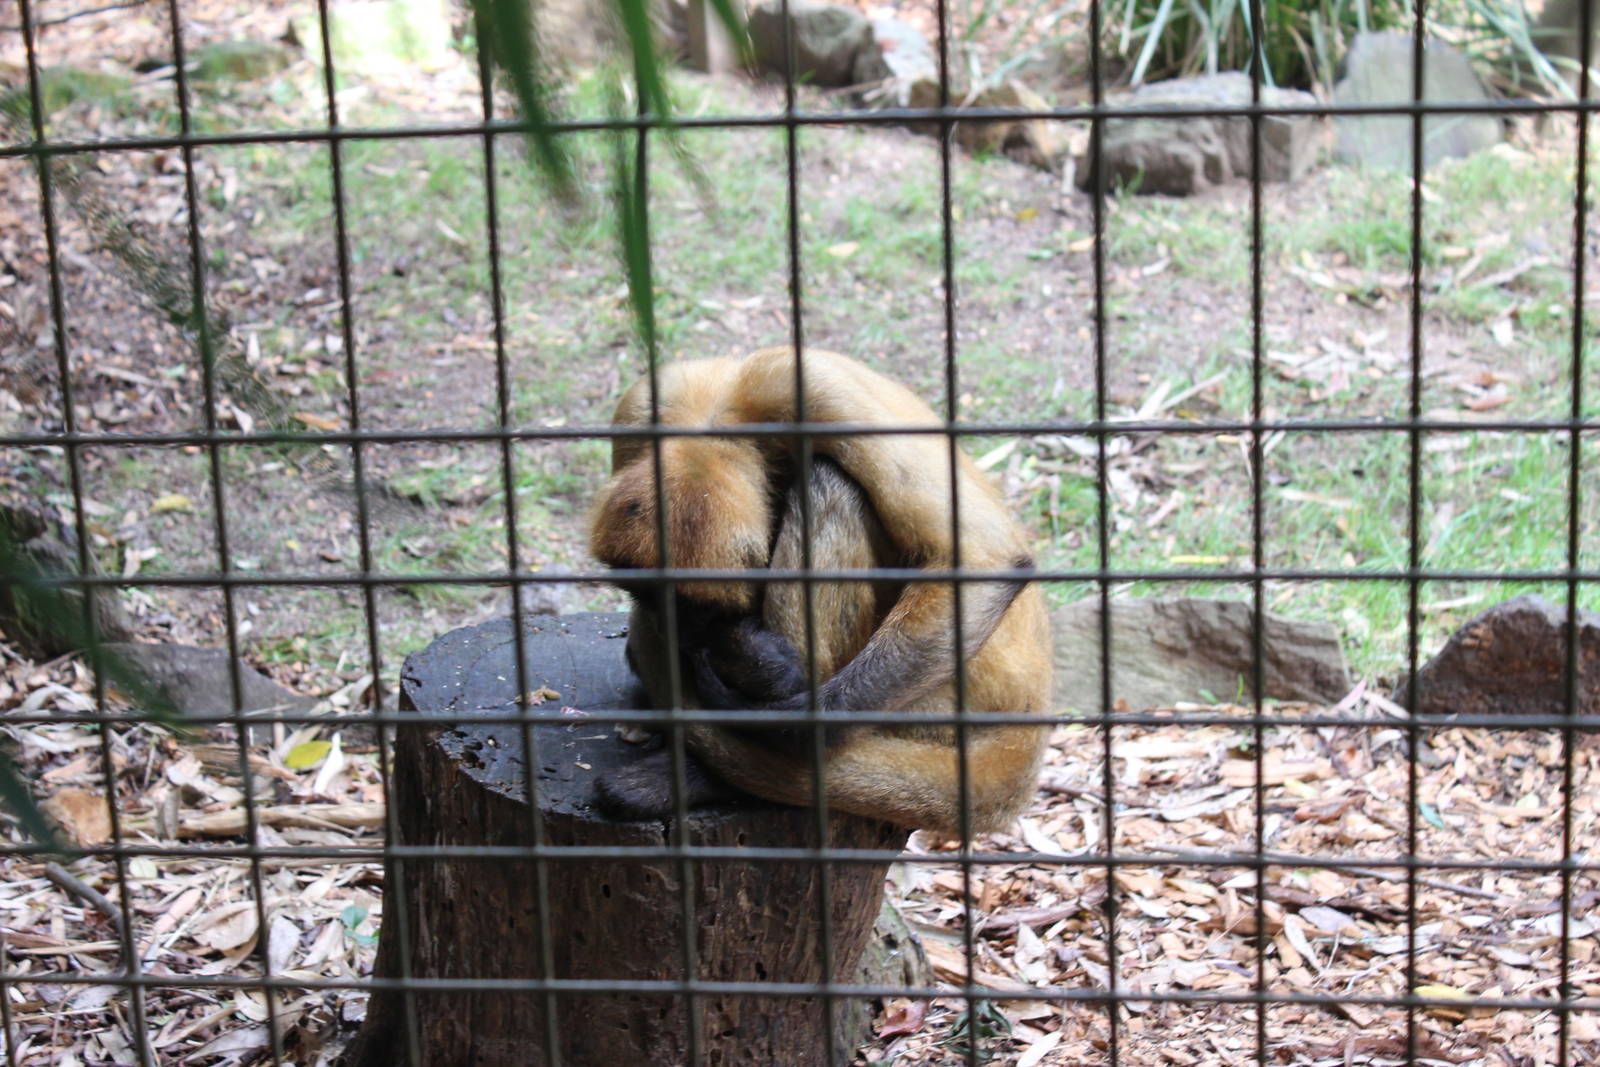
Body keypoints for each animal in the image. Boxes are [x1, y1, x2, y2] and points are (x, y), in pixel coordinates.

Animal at [588, 347, 1053, 837]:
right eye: (647, 598)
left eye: (695, 609)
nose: (675, 630)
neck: (711, 414)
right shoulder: (641, 407)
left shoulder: (809, 386)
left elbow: (986, 556)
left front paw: (775, 720)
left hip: (933, 706)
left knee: (830, 484)